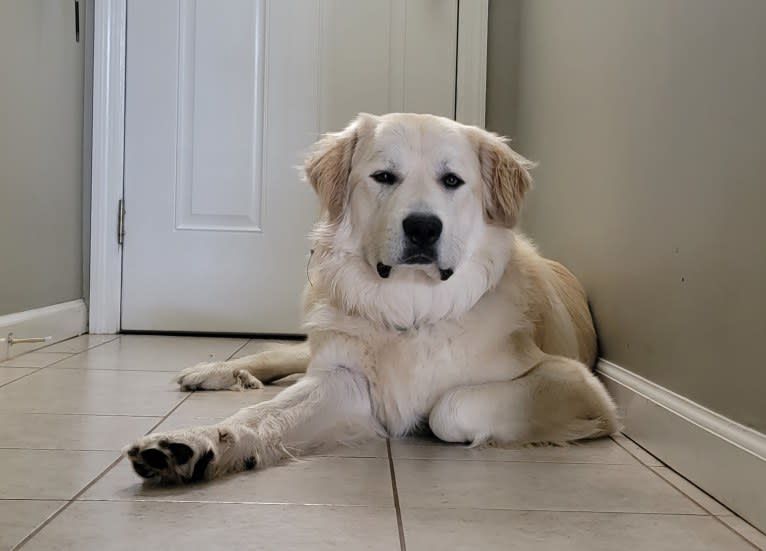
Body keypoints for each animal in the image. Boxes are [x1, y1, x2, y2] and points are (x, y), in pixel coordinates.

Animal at [124, 114, 616, 486]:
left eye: (452, 180)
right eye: (384, 177)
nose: (423, 228)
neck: (412, 307)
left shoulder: (574, 383)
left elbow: (449, 406)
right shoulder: (341, 379)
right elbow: (258, 416)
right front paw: (193, 443)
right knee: (282, 355)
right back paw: (216, 372)